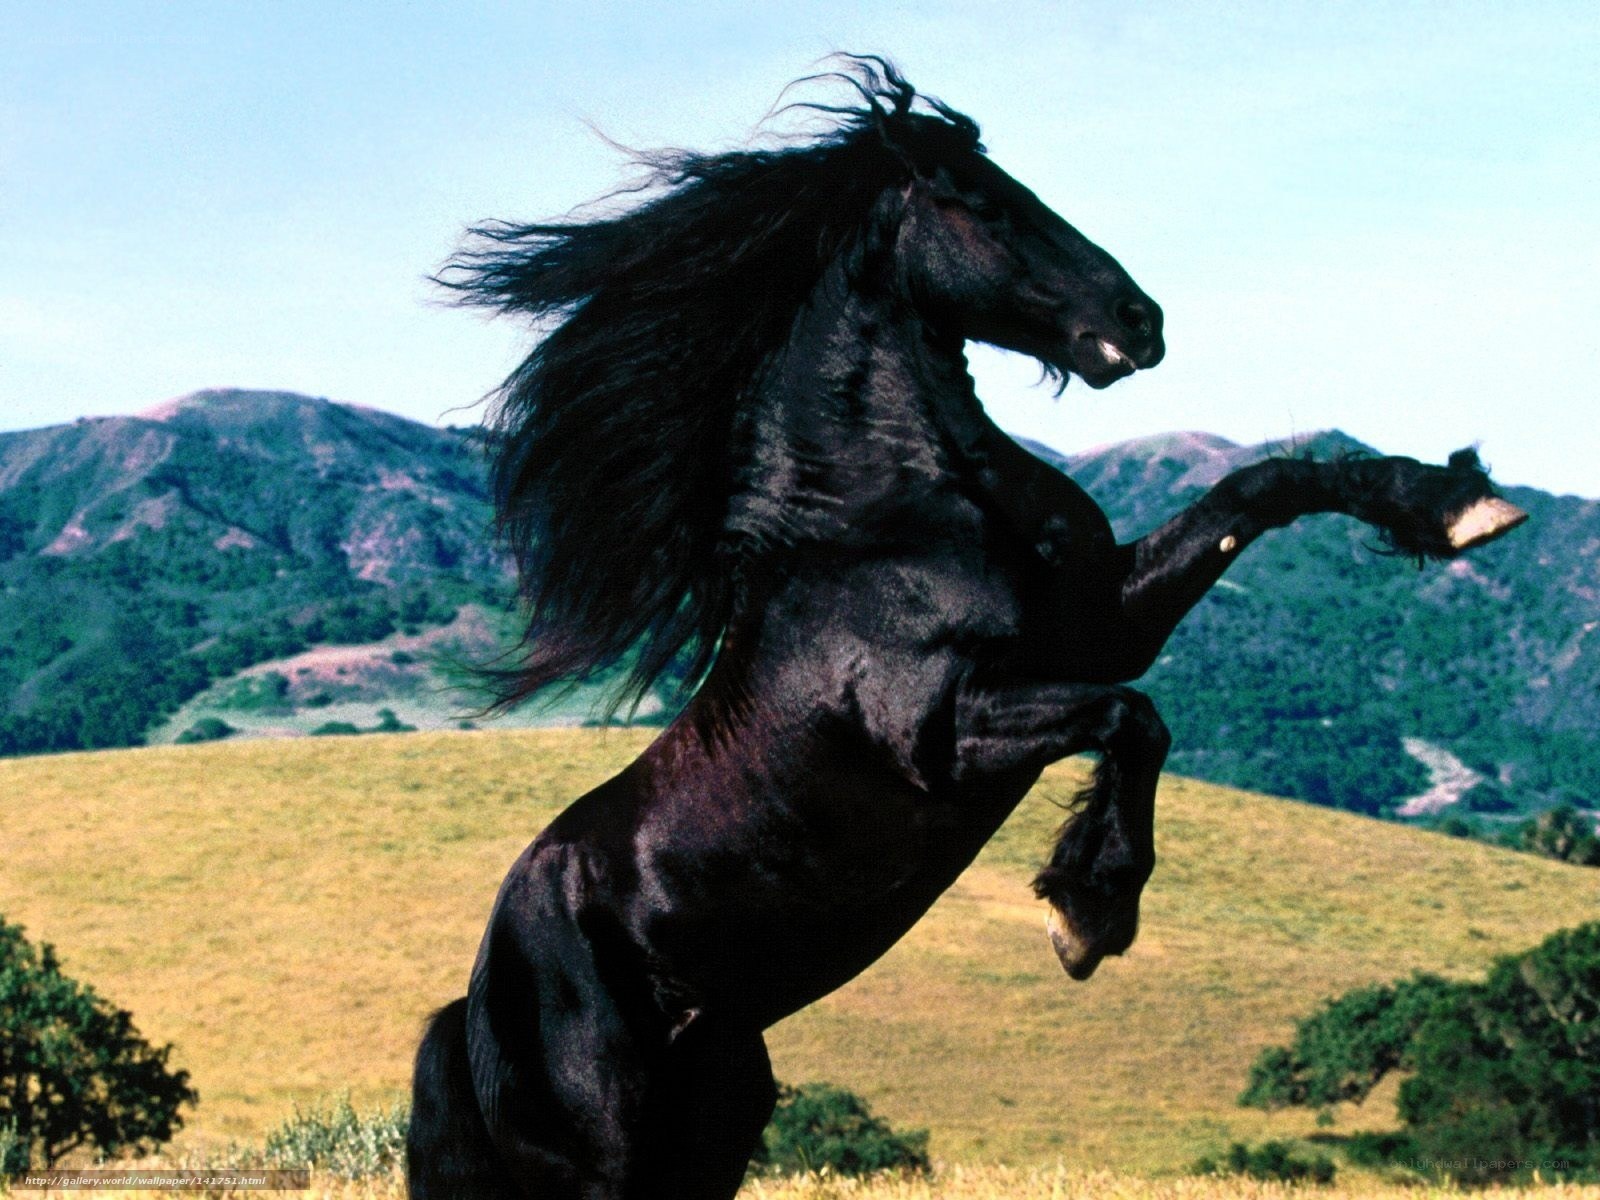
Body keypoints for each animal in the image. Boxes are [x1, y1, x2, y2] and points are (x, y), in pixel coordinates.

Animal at [406, 57, 1526, 1200]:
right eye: (986, 204)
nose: (1142, 318)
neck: (887, 520)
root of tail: (475, 1002)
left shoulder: (1101, 626)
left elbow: (1260, 492)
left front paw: (1455, 505)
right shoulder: (945, 735)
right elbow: (1132, 718)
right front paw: (1086, 914)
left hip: (714, 1121)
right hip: (606, 1154)